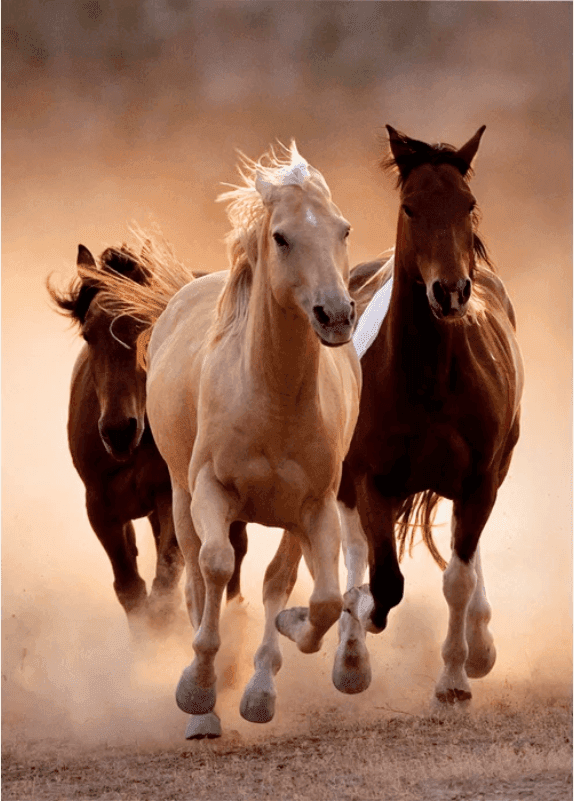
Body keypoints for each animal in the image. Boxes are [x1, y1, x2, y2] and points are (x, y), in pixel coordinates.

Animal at [47, 243, 248, 633]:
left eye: (146, 326)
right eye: (88, 334)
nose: (118, 430)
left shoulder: (169, 497)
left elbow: (164, 586)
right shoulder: (101, 506)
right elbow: (131, 589)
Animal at [88, 142, 362, 738]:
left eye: (343, 229)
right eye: (281, 236)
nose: (335, 315)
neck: (272, 399)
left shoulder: (315, 507)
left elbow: (319, 599)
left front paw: (277, 660)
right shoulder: (210, 491)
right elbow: (214, 568)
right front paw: (197, 689)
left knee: (277, 580)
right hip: (179, 497)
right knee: (196, 575)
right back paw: (205, 708)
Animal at [338, 126, 524, 710]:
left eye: (467, 204)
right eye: (410, 207)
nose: (450, 291)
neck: (428, 381)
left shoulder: (480, 480)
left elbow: (457, 579)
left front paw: (456, 678)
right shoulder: (370, 479)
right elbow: (384, 581)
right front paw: (358, 622)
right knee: (354, 548)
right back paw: (349, 653)